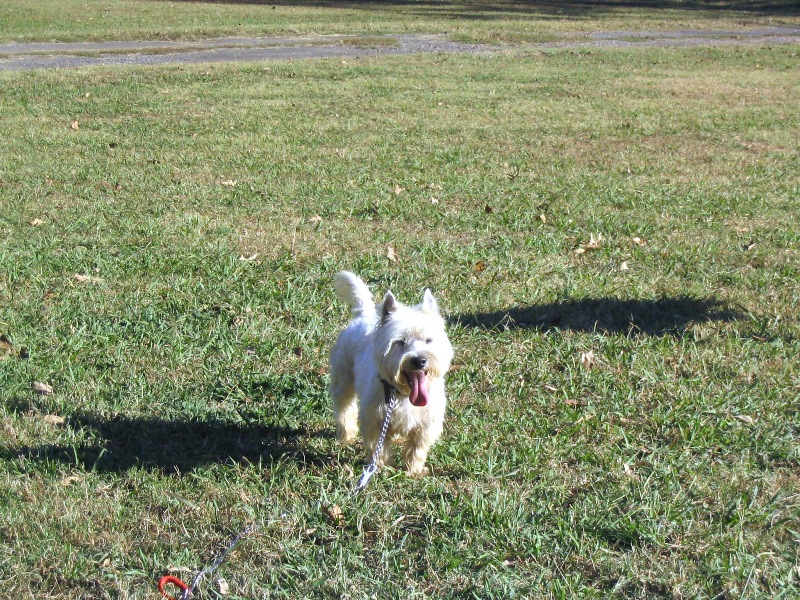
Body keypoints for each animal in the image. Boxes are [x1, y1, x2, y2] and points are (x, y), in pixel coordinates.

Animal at [329, 271, 453, 476]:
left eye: (428, 340)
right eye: (400, 342)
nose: (419, 360)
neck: (404, 394)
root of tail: (364, 314)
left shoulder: (426, 423)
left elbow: (417, 448)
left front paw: (414, 470)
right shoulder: (374, 419)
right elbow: (378, 447)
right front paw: (383, 468)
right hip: (343, 376)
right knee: (344, 407)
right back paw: (345, 436)